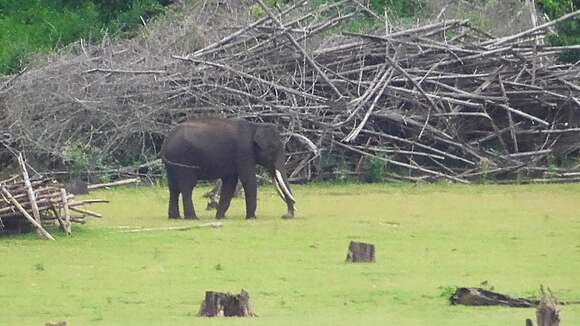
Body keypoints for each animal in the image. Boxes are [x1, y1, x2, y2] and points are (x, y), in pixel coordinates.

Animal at [160, 118, 296, 220]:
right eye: (273, 149)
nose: (286, 215)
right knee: (187, 186)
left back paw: (175, 217)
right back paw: (193, 218)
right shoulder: (244, 152)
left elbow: (230, 182)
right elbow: (248, 180)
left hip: (172, 162)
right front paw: (251, 218)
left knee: (173, 187)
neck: (255, 126)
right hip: (182, 158)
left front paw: (220, 217)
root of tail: (166, 141)